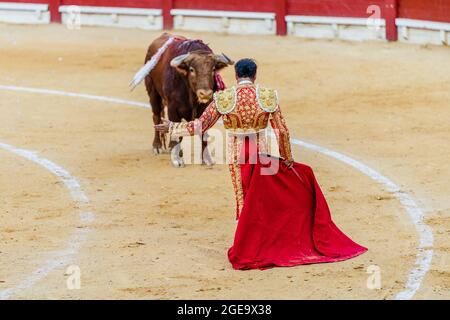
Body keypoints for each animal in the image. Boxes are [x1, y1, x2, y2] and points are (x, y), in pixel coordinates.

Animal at [142, 33, 234, 166]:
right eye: (191, 69)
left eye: (213, 69)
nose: (205, 94)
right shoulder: (172, 108)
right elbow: (174, 129)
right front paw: (177, 159)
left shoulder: (205, 108)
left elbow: (203, 132)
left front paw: (206, 158)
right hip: (153, 92)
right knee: (156, 117)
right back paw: (157, 146)